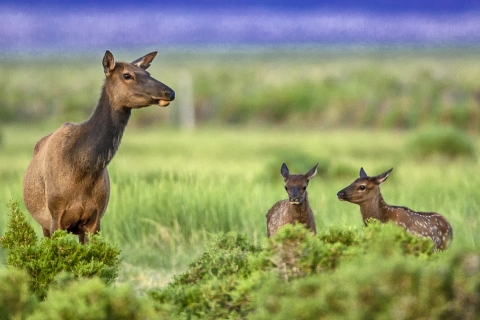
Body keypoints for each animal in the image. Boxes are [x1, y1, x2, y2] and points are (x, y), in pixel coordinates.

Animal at [22, 51, 175, 244]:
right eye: (127, 75)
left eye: (147, 73)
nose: (169, 92)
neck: (82, 170)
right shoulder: (55, 218)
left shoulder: (95, 219)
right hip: (44, 224)